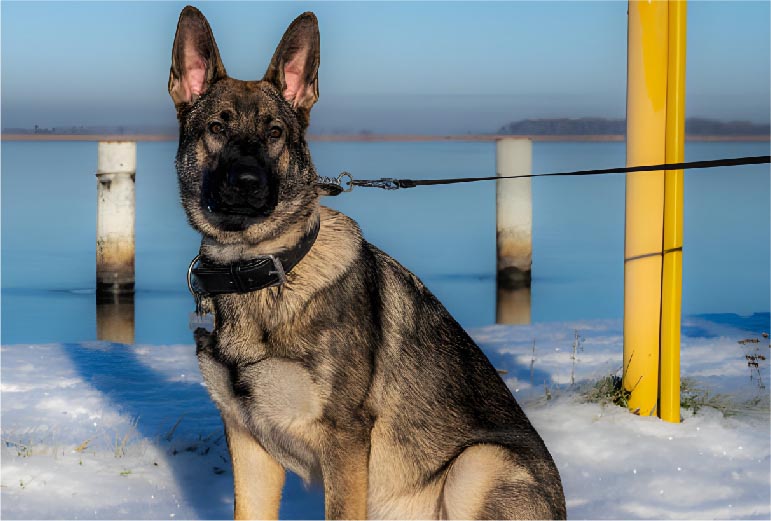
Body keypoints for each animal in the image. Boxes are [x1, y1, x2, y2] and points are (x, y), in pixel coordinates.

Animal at [170, 6, 568, 516]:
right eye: (216, 129)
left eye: (275, 133)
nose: (247, 183)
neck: (260, 271)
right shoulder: (247, 443)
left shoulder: (344, 442)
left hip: (478, 463)